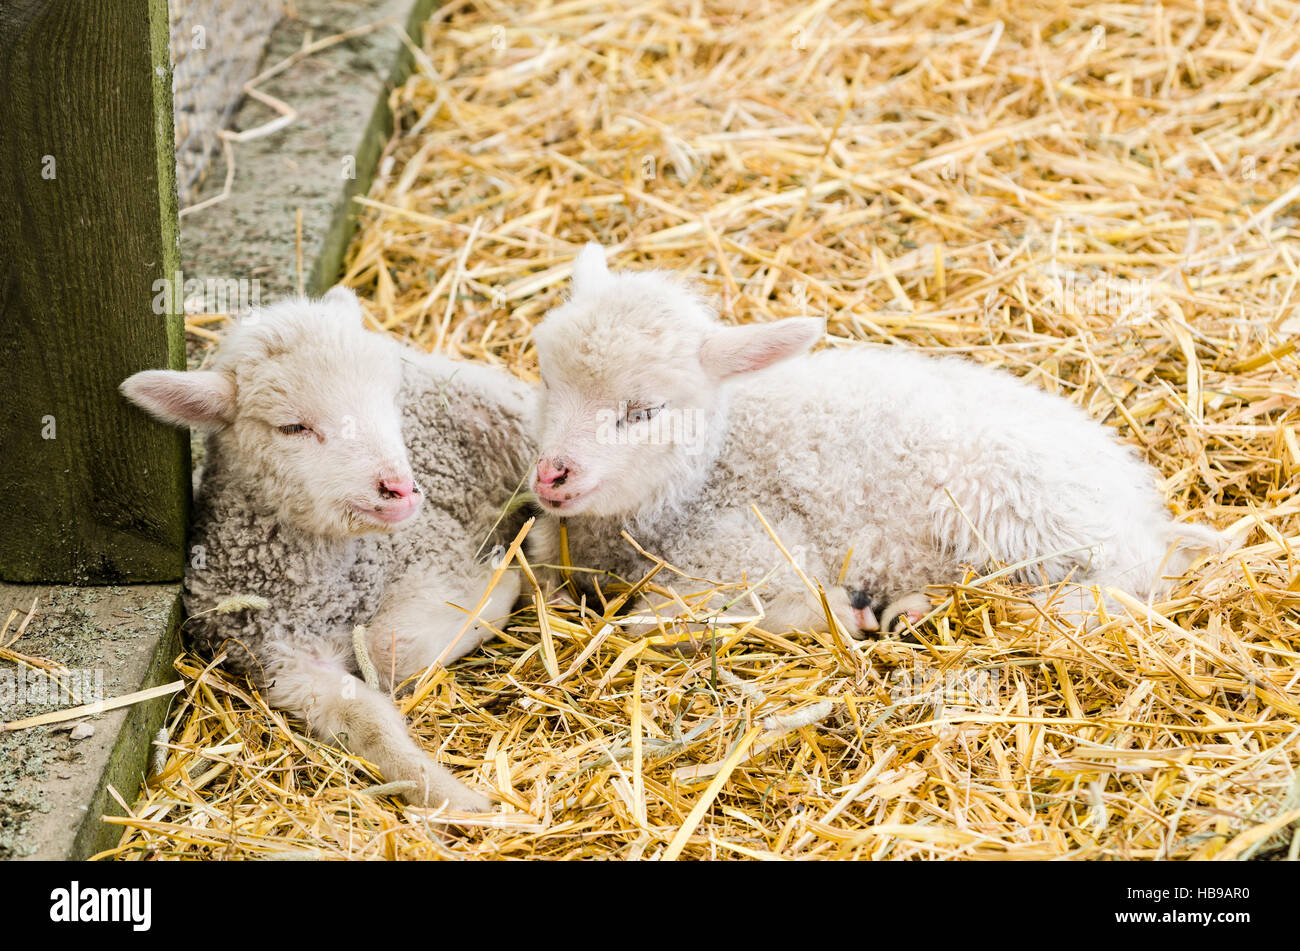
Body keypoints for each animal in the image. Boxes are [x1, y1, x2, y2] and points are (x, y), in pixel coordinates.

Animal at [121, 287, 535, 811]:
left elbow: (392, 644)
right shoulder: (282, 662)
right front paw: (455, 802)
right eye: (292, 427)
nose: (400, 488)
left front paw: (501, 583)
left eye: (387, 400)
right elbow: (368, 714)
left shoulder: (435, 551)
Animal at [526, 244, 1226, 638]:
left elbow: (652, 621)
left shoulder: (752, 551)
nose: (551, 475)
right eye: (546, 379)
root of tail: (1142, 508)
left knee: (1117, 586)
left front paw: (836, 613)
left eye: (645, 412)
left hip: (1016, 509)